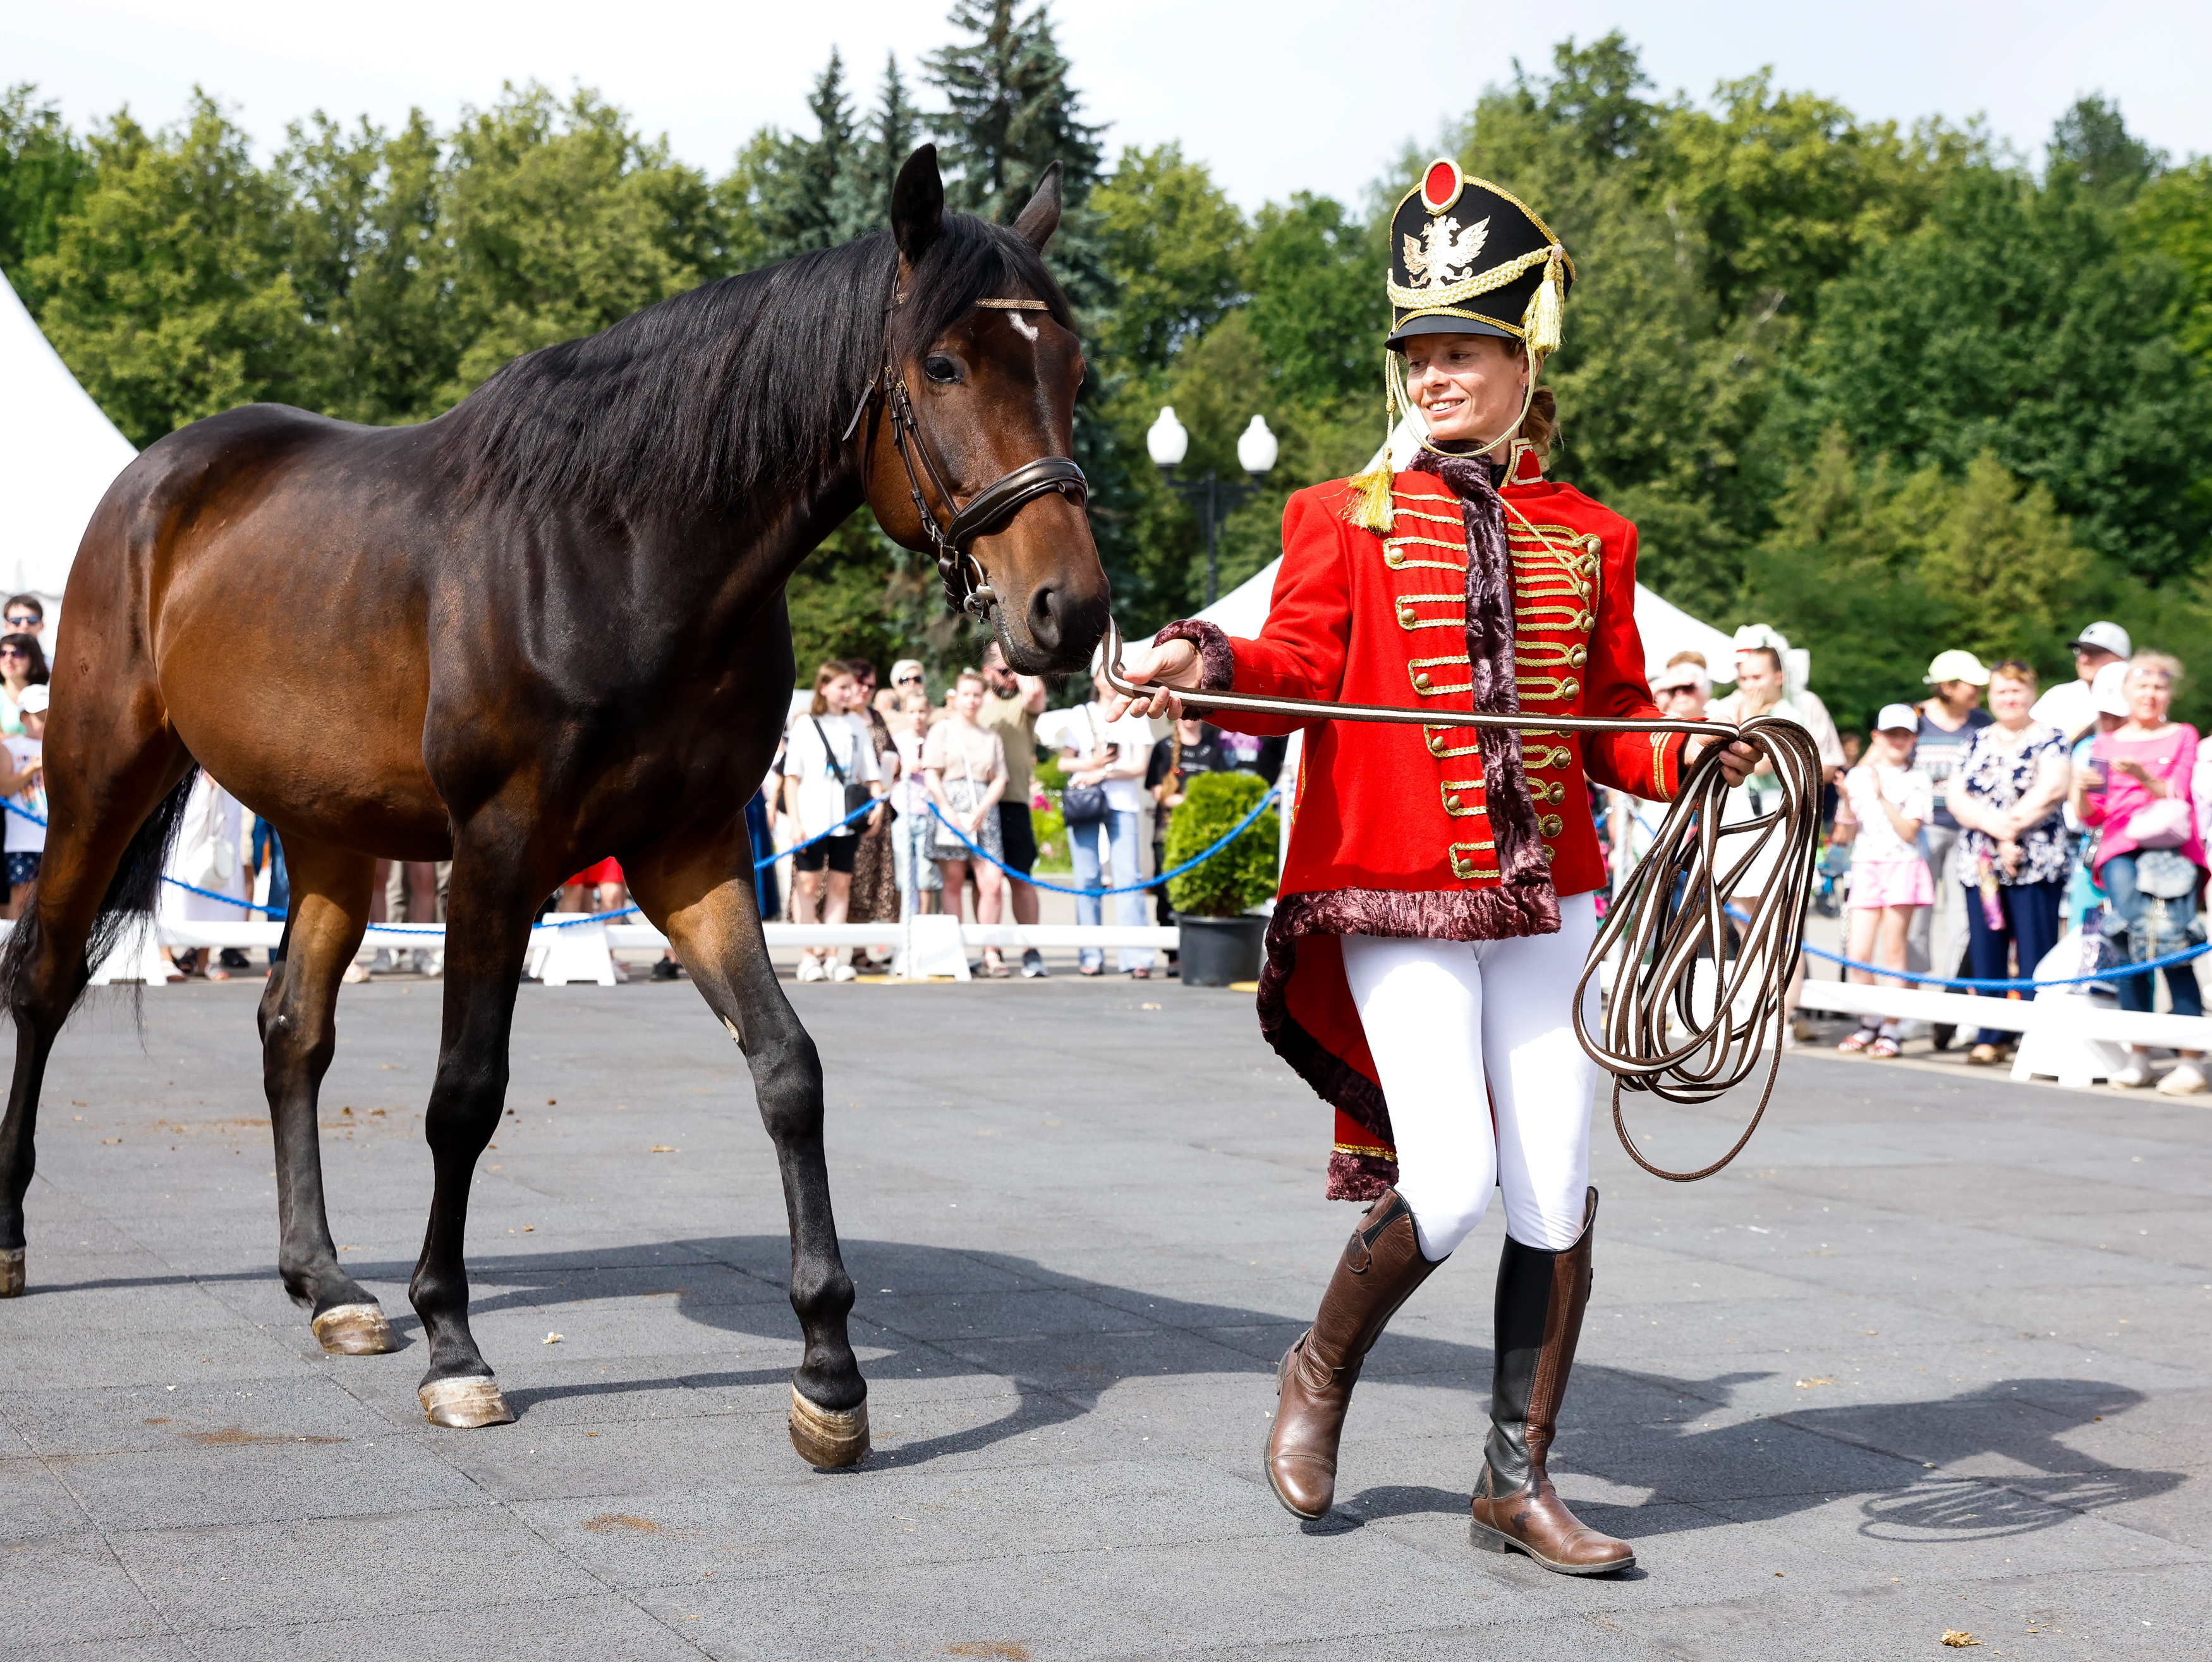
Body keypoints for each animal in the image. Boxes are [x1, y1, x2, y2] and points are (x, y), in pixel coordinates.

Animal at [0, 146, 1106, 1469]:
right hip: (100, 774)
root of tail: (158, 478)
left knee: (291, 1032)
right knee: (43, 975)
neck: (625, 553)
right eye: (943, 366)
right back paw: (11, 1238)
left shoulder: (690, 855)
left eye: (1071, 366)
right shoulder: (499, 854)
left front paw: (830, 1377)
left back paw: (326, 1284)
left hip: (330, 834)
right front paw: (454, 1345)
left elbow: (788, 1070)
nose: (1071, 610)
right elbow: (465, 1093)